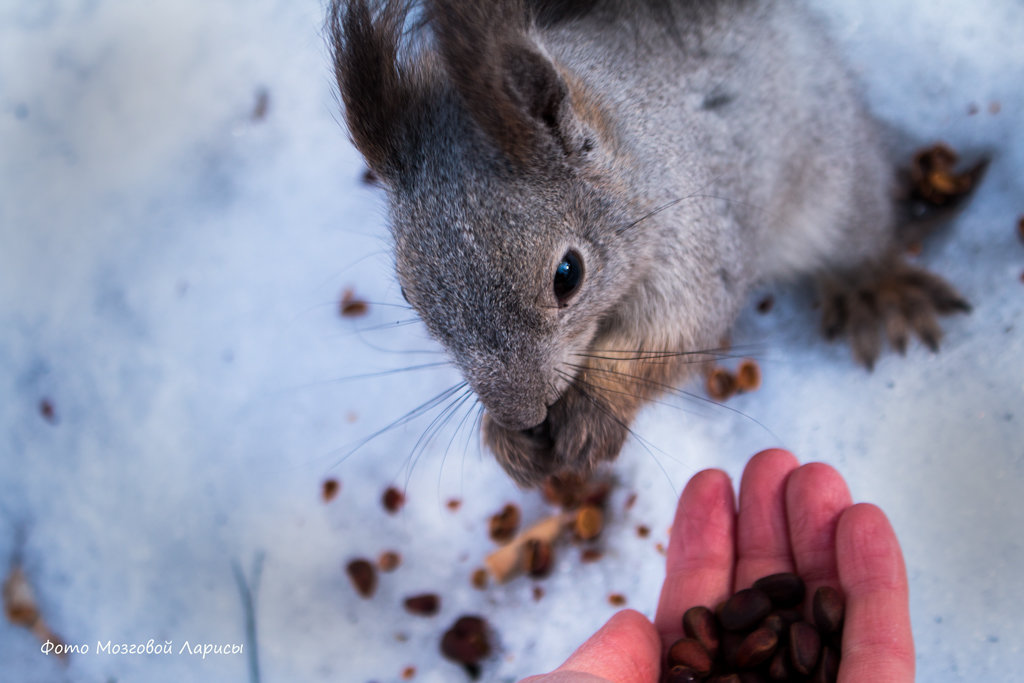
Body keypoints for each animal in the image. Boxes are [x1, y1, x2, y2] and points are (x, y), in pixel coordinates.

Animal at [325, 1, 974, 491]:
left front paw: (592, 409)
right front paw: (504, 439)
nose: (522, 413)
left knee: (858, 235)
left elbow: (673, 337)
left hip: (834, 181)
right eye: (408, 293)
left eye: (568, 274)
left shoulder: (698, 246)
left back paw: (874, 289)